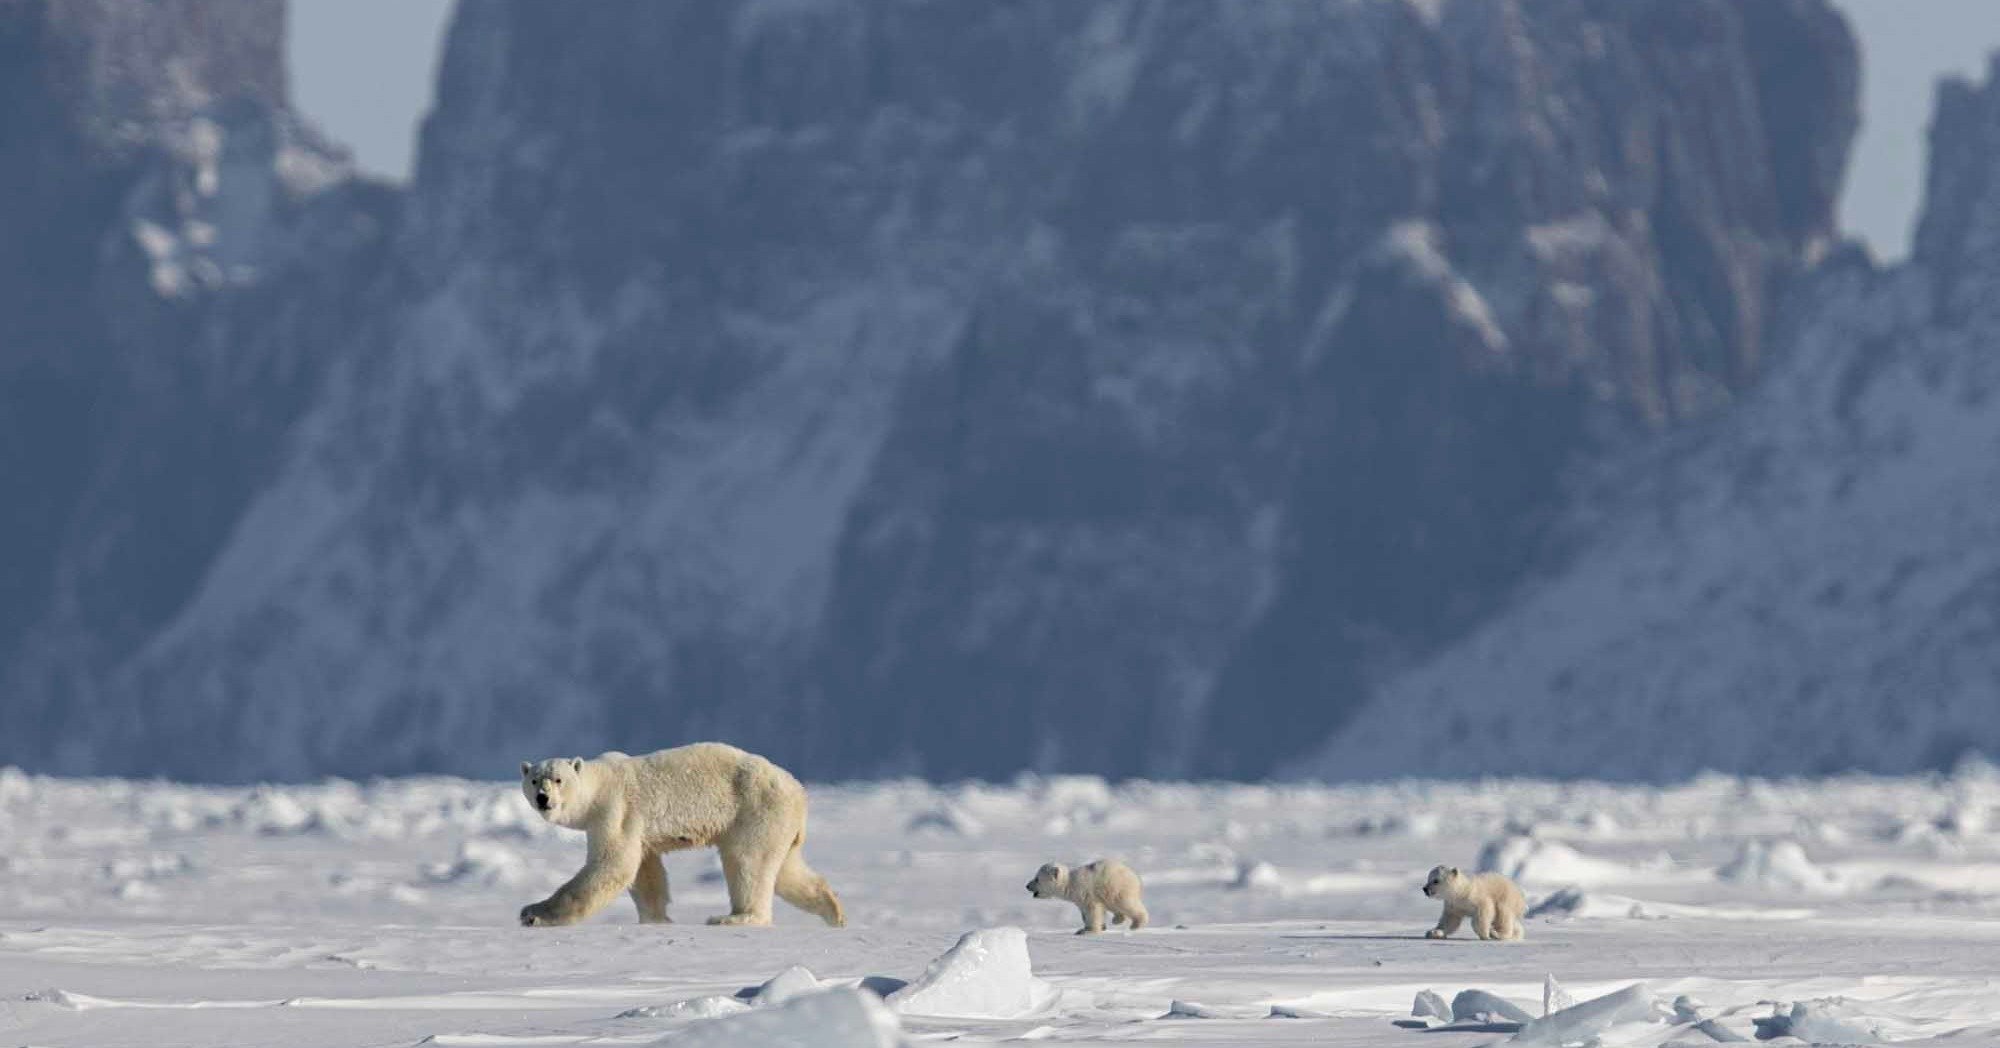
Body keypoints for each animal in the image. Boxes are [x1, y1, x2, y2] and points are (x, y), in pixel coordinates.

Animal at [516, 740, 844, 928]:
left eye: (558, 779)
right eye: (534, 780)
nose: (543, 798)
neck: (599, 784)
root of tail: (798, 789)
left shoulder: (614, 810)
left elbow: (611, 865)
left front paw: (533, 913)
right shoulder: (637, 828)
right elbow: (645, 873)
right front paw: (656, 920)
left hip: (756, 809)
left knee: (748, 860)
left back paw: (733, 917)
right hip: (780, 822)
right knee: (786, 869)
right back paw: (833, 911)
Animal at [1024, 860, 1152, 932]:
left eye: (1037, 879)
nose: (1027, 886)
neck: (1070, 883)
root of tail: (1135, 876)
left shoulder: (1087, 892)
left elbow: (1093, 911)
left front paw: (1089, 931)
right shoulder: (1080, 899)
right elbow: (1085, 913)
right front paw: (1085, 928)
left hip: (1116, 888)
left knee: (1126, 903)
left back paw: (1136, 924)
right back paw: (1117, 919)